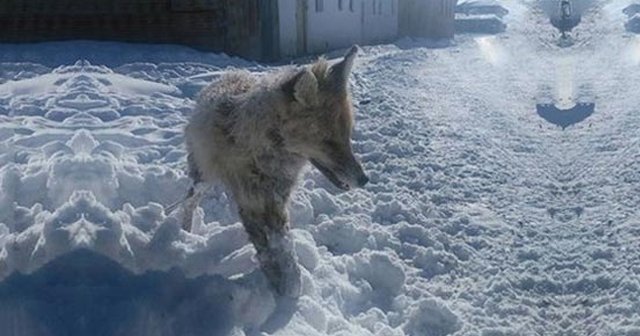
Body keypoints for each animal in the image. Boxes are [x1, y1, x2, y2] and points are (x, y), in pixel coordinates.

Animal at [180, 46, 370, 296]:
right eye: (328, 141)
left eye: (347, 135)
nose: (364, 179)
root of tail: (229, 75)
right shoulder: (251, 203)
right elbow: (270, 255)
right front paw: (283, 295)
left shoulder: (276, 203)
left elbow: (285, 252)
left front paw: (291, 291)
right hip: (203, 176)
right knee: (189, 200)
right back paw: (185, 234)